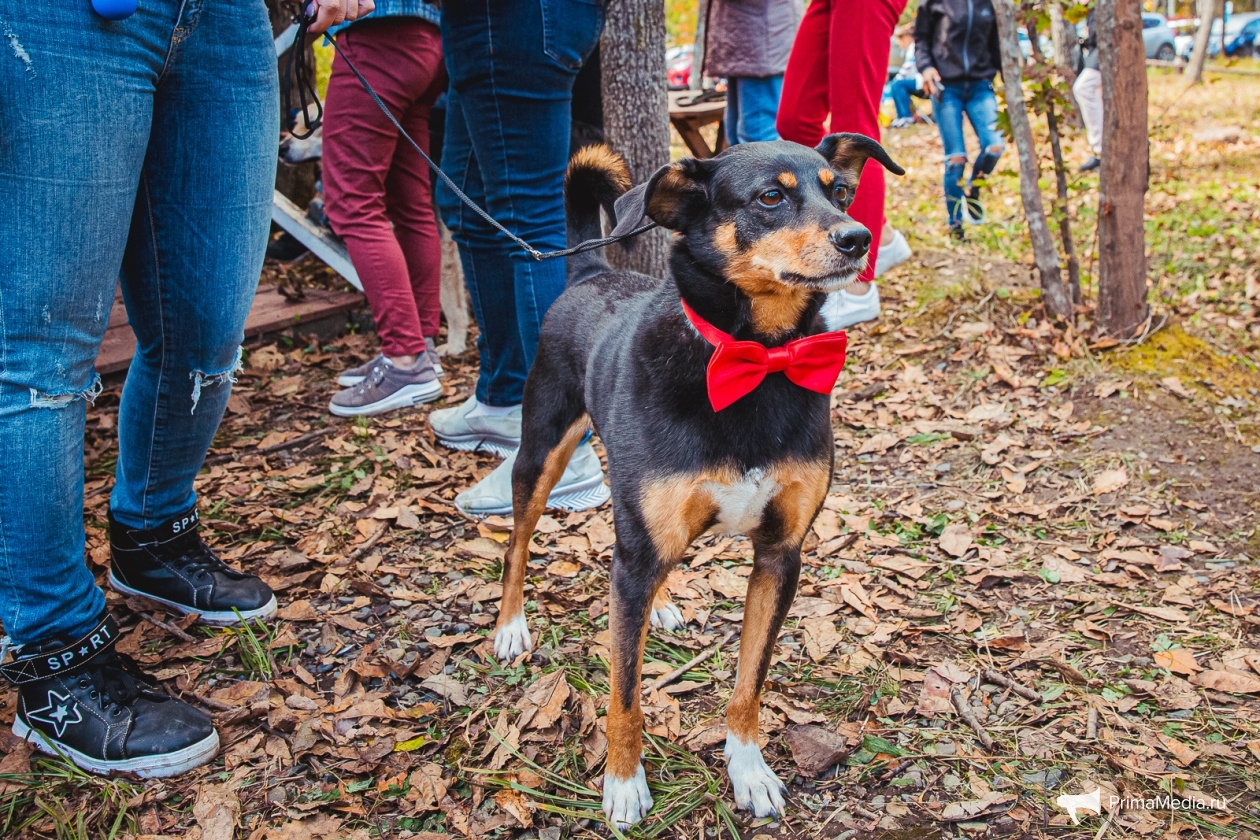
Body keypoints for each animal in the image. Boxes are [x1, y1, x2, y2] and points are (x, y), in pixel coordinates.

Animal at [491, 136, 907, 826]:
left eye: (841, 192)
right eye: (771, 196)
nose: (857, 237)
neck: (755, 357)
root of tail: (590, 272)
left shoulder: (780, 554)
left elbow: (749, 682)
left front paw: (749, 770)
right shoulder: (636, 554)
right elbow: (625, 694)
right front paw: (623, 784)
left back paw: (658, 604)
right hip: (542, 449)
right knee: (519, 544)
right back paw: (509, 625)